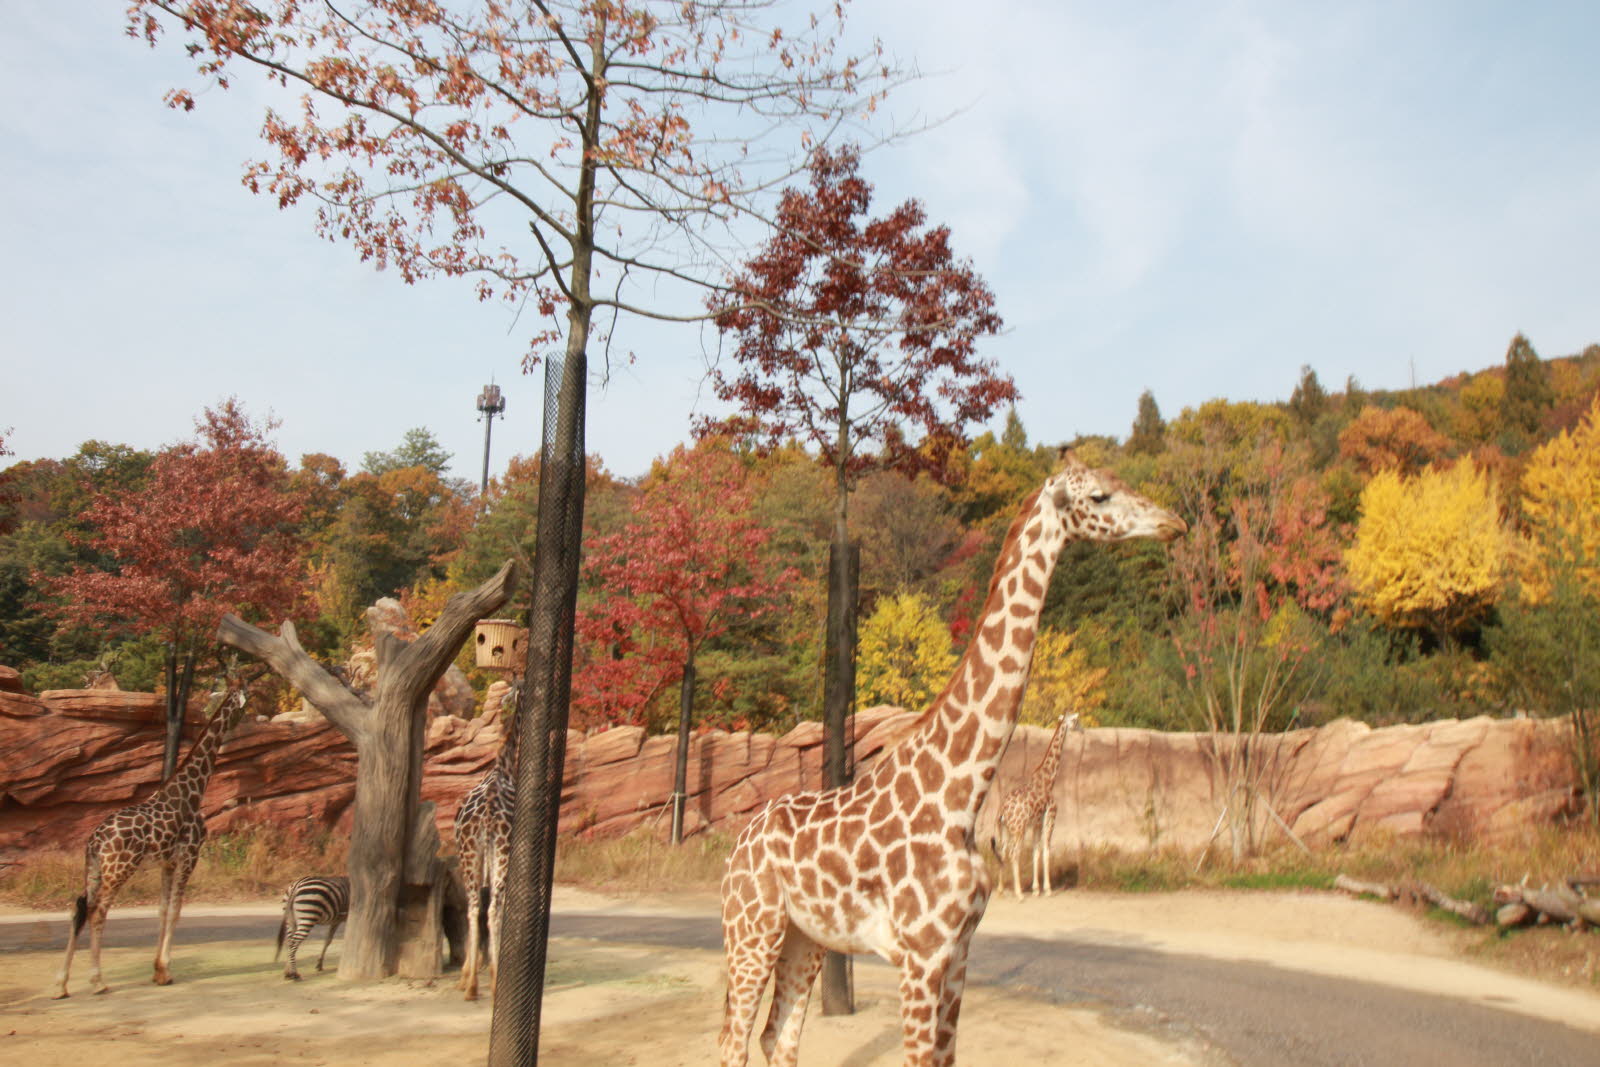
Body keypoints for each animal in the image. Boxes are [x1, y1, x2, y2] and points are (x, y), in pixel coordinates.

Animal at [53, 684, 248, 1004]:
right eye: (244, 701)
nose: (239, 726)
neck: (192, 791)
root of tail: (96, 840)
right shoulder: (190, 856)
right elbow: (176, 910)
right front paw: (165, 971)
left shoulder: (167, 862)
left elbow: (162, 910)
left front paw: (158, 972)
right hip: (120, 869)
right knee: (98, 911)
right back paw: (98, 982)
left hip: (93, 870)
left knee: (79, 909)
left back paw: (61, 985)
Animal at [992, 710, 1081, 902]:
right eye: (1076, 721)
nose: (1082, 730)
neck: (1047, 781)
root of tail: (1001, 810)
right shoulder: (1050, 817)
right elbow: (1046, 850)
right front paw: (1047, 889)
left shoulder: (1036, 822)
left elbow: (1035, 851)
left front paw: (1035, 889)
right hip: (1018, 828)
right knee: (1014, 853)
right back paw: (1018, 893)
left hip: (1006, 829)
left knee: (1003, 851)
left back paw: (1001, 890)